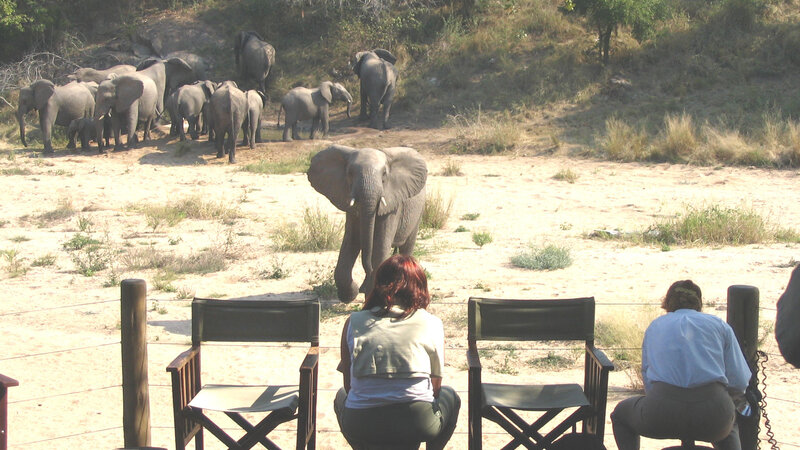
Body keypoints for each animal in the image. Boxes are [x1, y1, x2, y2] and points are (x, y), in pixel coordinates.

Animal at [310, 145, 428, 302]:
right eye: (350, 173)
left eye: (384, 174)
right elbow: (351, 242)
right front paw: (351, 294)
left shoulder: (392, 206)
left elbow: (379, 249)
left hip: (418, 212)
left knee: (406, 246)